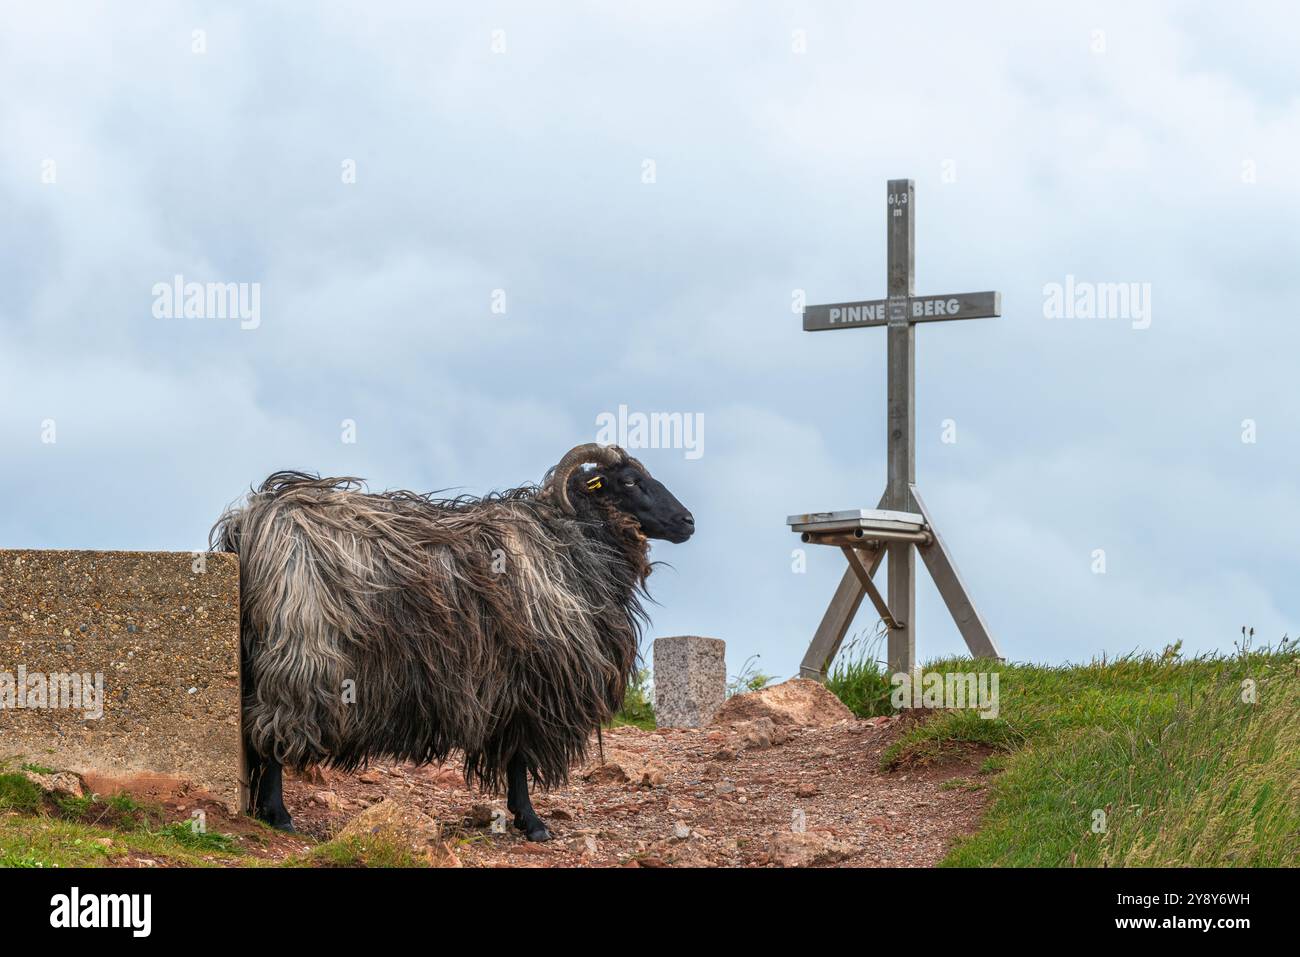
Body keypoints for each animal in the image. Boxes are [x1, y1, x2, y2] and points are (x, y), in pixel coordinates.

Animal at [209, 443, 694, 840]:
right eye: (629, 481)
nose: (687, 521)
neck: (569, 545)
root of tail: (252, 519)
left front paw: (523, 818)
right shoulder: (532, 685)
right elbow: (519, 758)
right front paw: (533, 823)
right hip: (299, 656)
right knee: (271, 733)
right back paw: (279, 815)